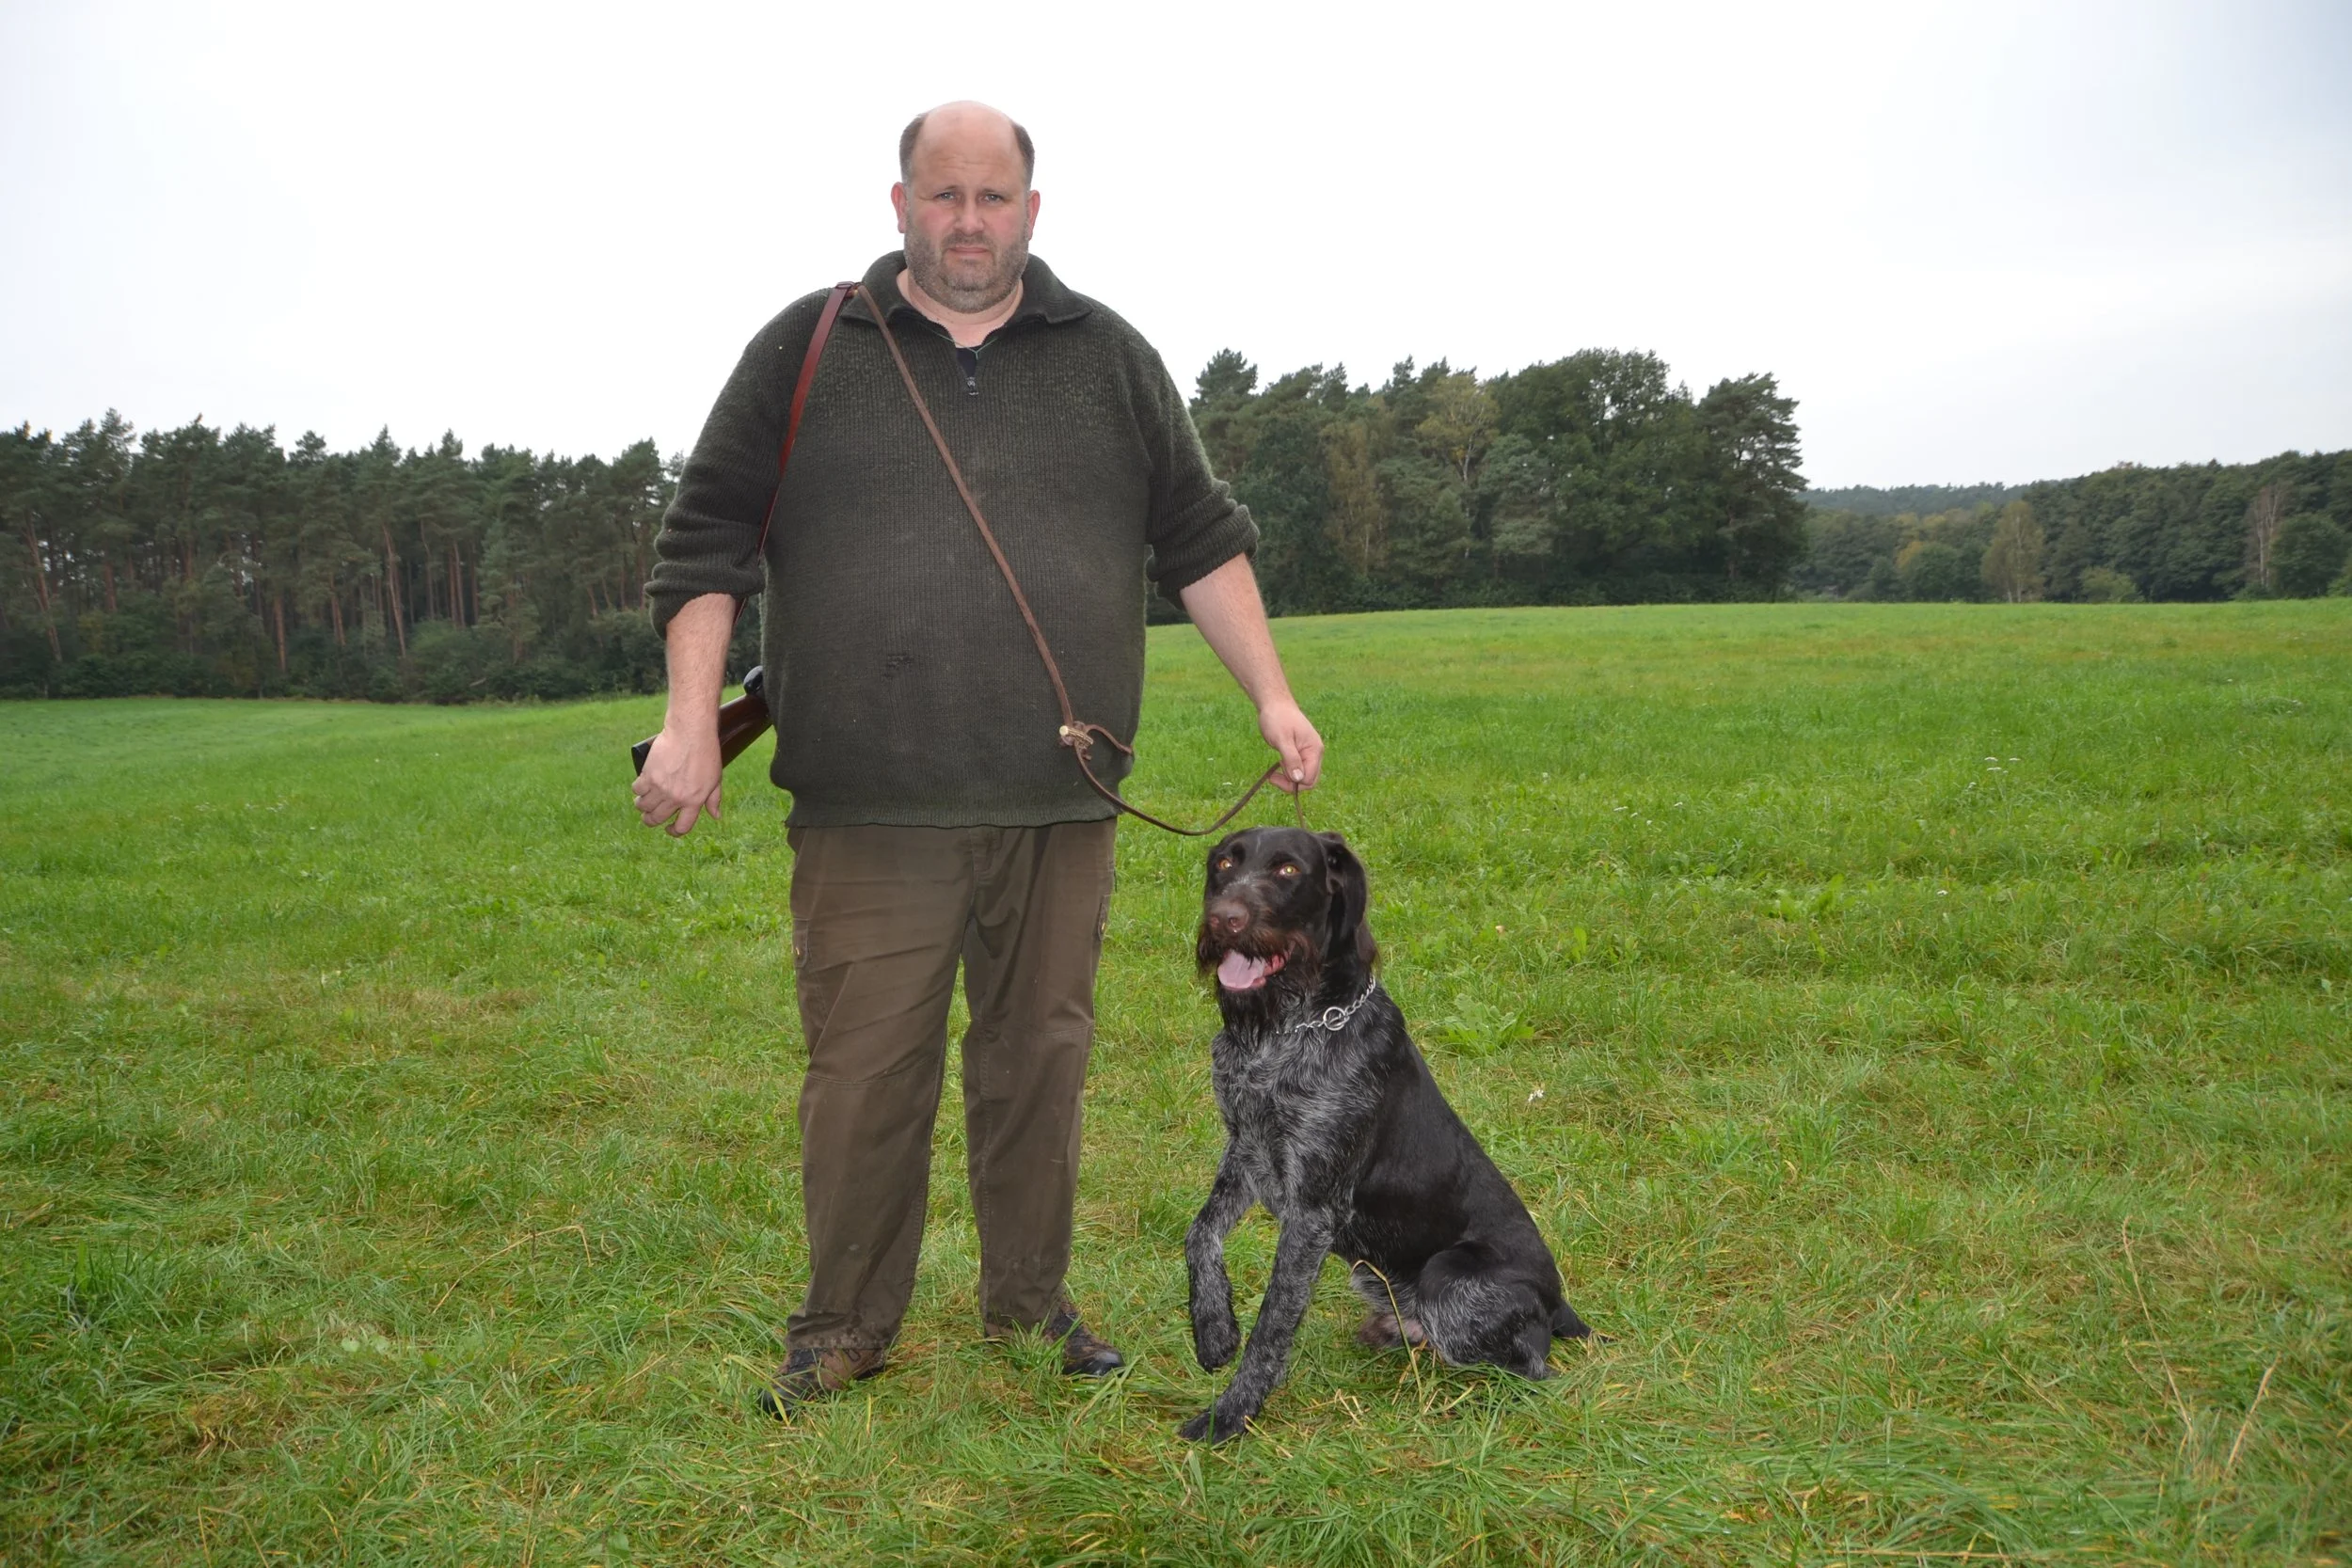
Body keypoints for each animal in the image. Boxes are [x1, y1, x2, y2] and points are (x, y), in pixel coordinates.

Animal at [1180, 826, 1592, 1443]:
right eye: (1224, 863)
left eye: (1287, 871)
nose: (1223, 920)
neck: (1286, 1030)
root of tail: (1557, 1300)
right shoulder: (1246, 1149)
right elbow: (1200, 1233)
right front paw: (1213, 1329)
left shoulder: (1313, 1210)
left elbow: (1273, 1324)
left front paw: (1232, 1413)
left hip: (1448, 1277)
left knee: (1533, 1365)